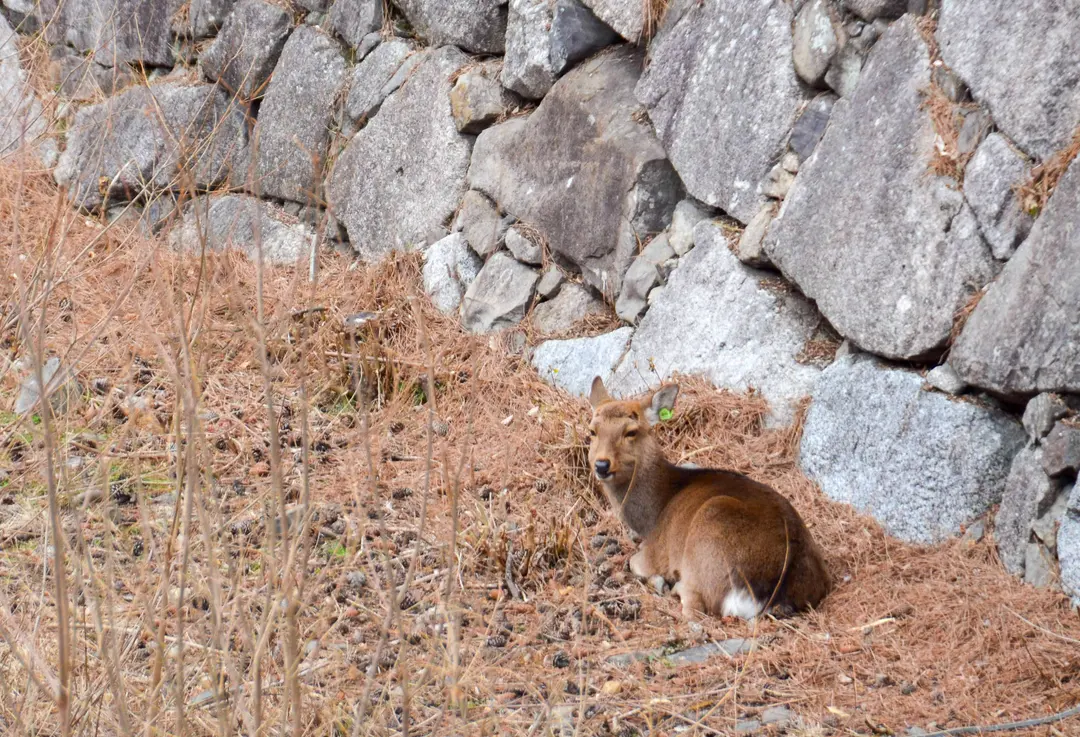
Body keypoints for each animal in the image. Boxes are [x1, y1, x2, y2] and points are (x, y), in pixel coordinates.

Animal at [587, 376, 830, 621]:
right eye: (592, 431)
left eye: (631, 431)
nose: (602, 465)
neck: (653, 514)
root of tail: (771, 593)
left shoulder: (655, 553)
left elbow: (634, 562)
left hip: (706, 539)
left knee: (694, 607)